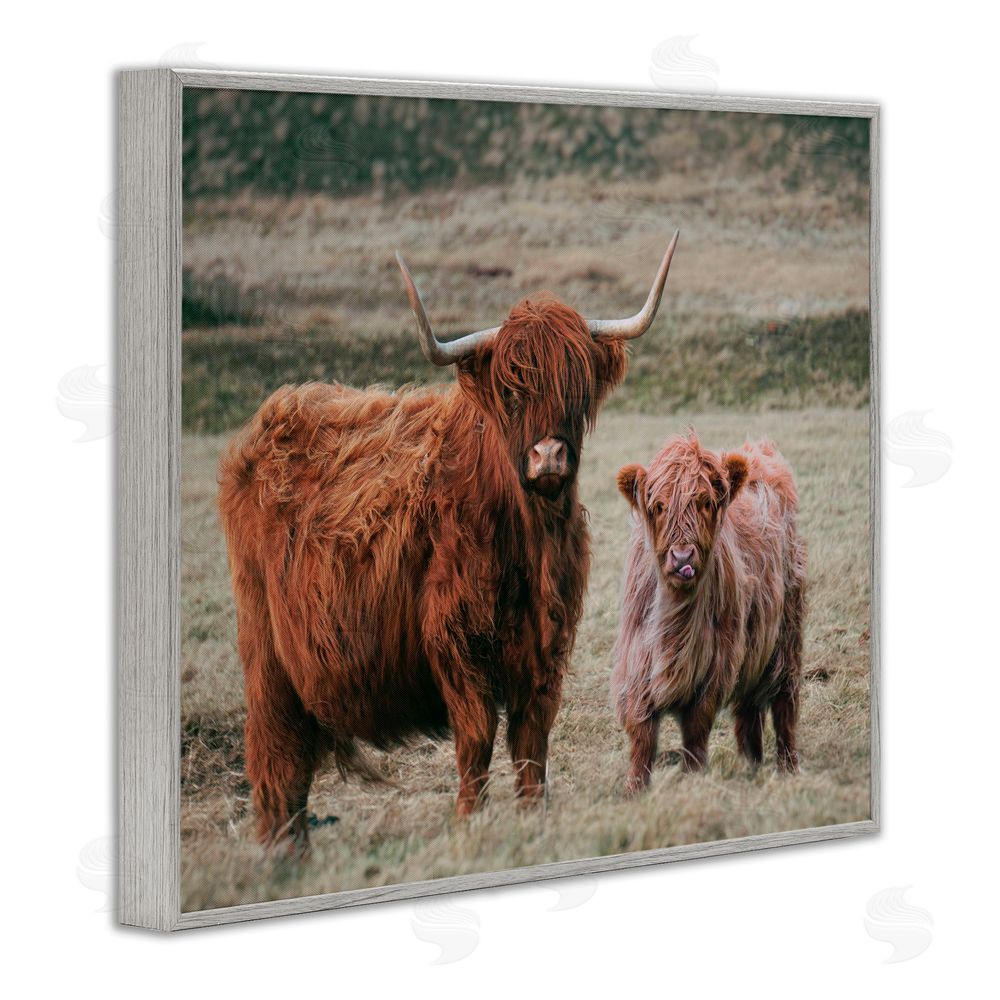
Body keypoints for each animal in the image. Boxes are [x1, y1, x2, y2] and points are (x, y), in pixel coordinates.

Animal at [218, 232, 680, 851]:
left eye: (576, 386)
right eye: (511, 390)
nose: (549, 456)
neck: (527, 542)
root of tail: (272, 418)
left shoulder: (546, 647)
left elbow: (532, 742)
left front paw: (532, 816)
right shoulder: (456, 641)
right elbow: (477, 737)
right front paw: (468, 821)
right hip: (266, 648)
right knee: (275, 755)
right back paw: (282, 853)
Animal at [610, 431, 806, 796]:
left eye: (705, 502)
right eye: (659, 506)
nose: (682, 557)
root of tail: (758, 450)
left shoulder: (715, 667)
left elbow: (696, 731)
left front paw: (692, 778)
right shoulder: (637, 663)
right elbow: (642, 735)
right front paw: (634, 790)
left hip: (787, 633)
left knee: (785, 704)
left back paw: (788, 768)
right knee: (749, 709)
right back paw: (751, 765)